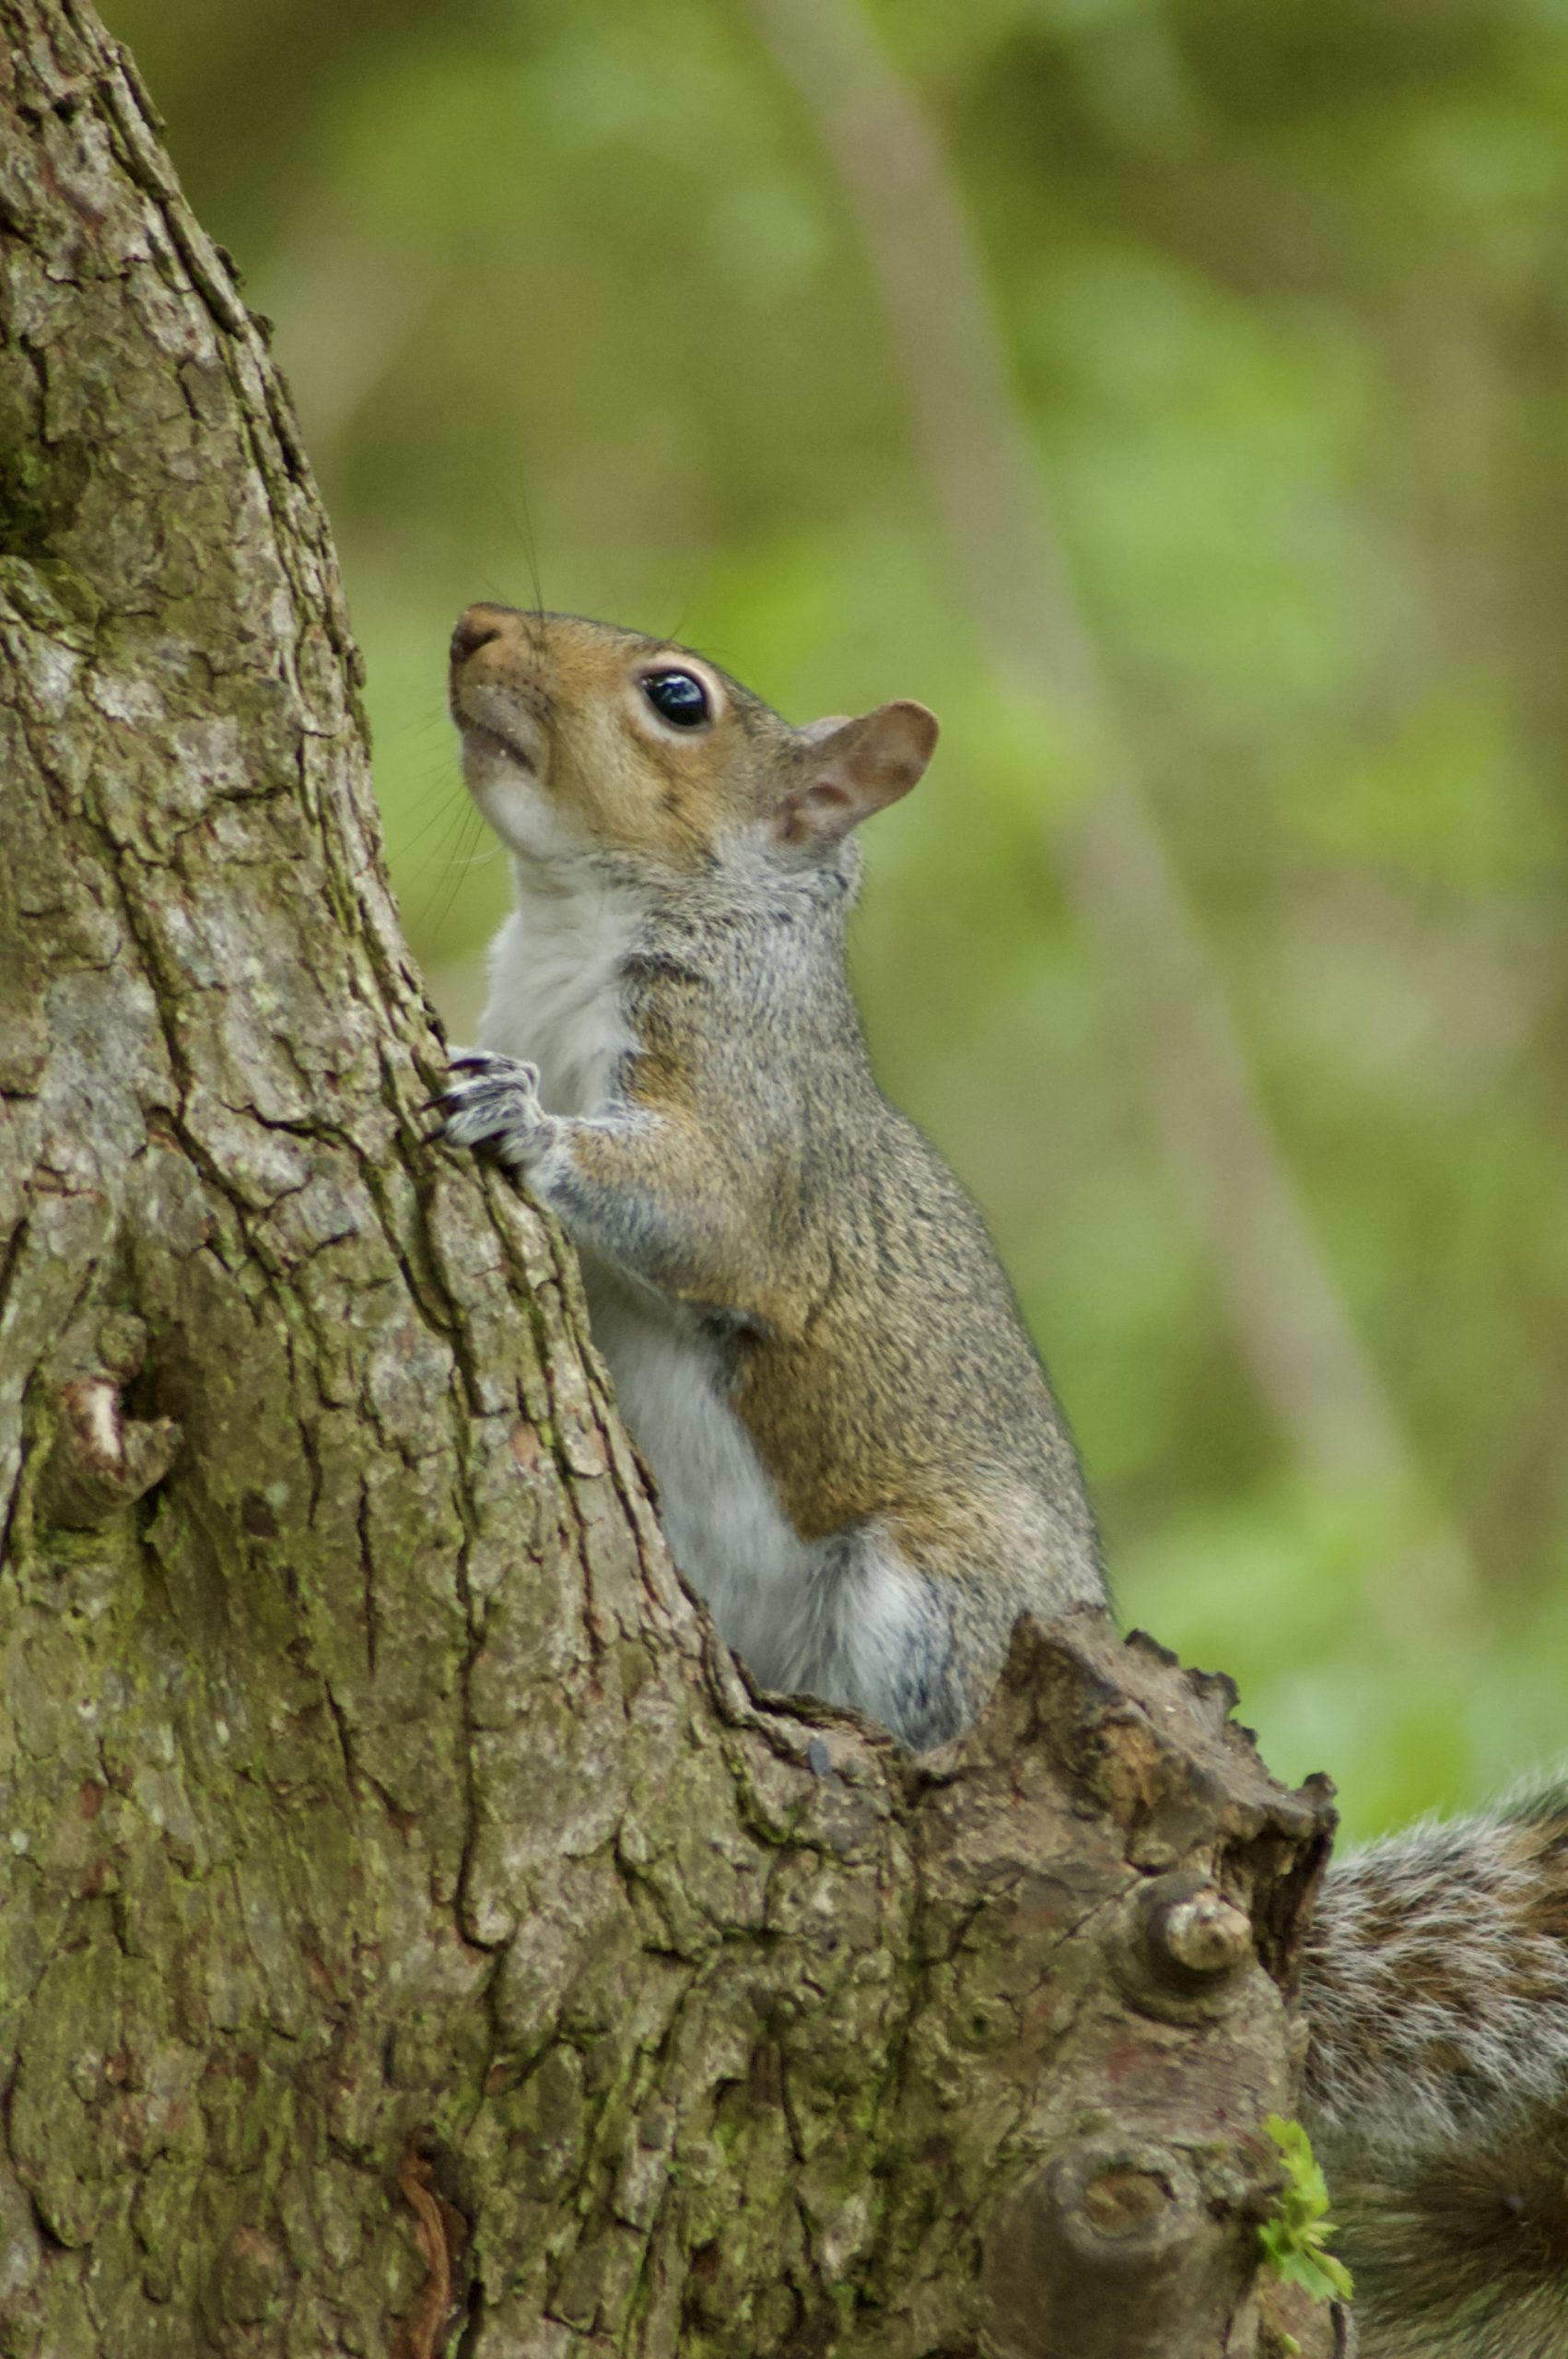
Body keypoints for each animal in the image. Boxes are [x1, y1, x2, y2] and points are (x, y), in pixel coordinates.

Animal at [439, 605, 1568, 2357]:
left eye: (677, 697)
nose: (476, 626)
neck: (581, 929)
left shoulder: (757, 1122)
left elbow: (703, 1216)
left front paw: (525, 1125)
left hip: (928, 1595)